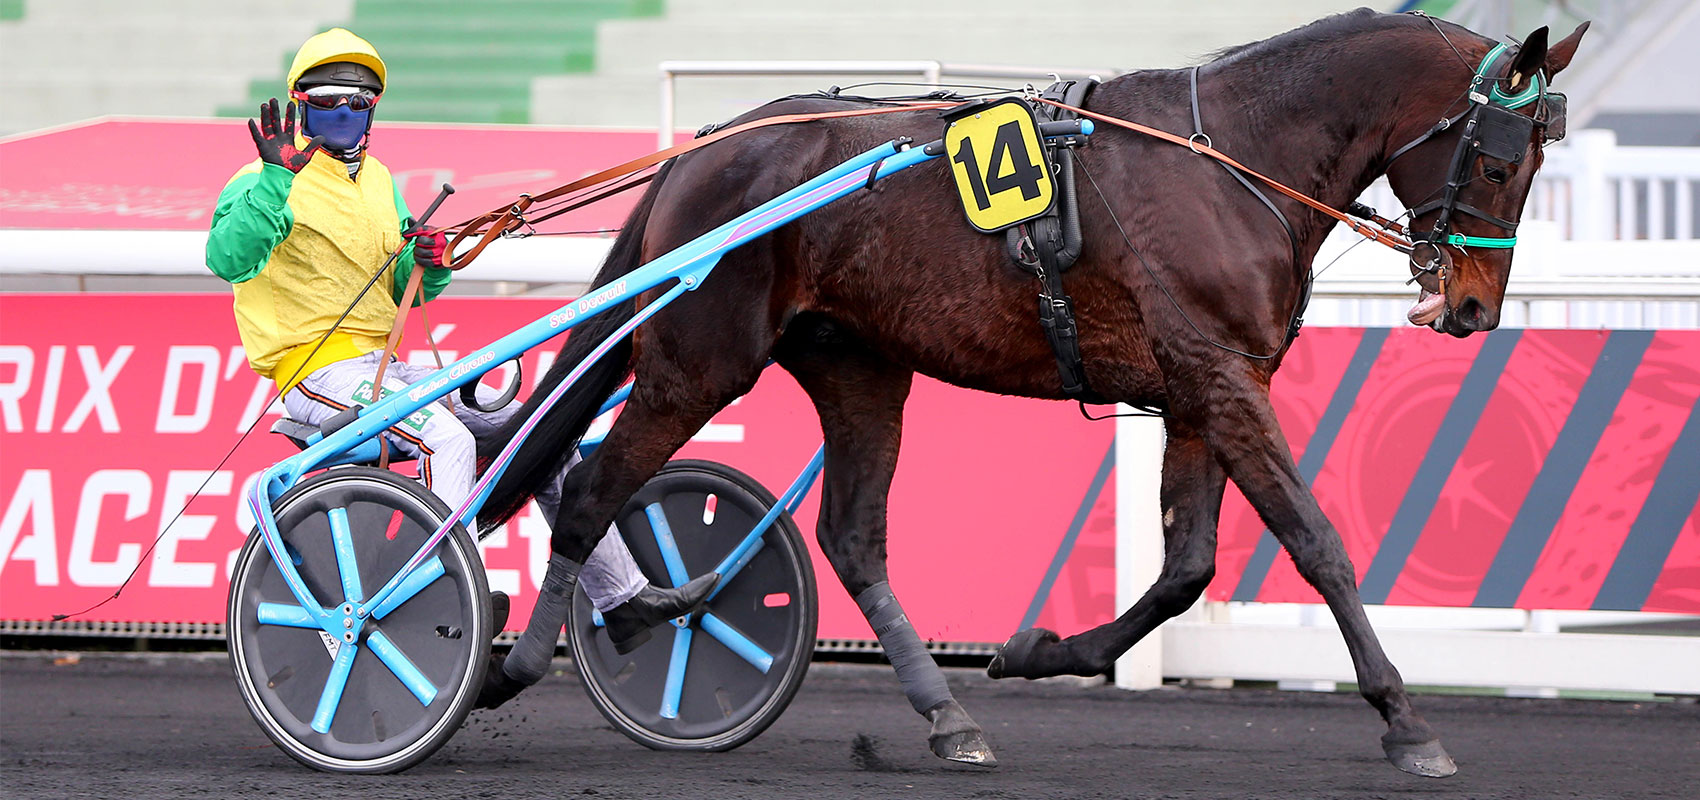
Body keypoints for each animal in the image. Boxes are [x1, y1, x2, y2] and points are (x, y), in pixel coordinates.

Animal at [482, 9, 1591, 781]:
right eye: (1500, 160)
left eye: (1538, 159)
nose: (1473, 306)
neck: (1234, 161)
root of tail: (703, 151)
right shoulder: (1220, 376)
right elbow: (1314, 543)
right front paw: (1406, 719)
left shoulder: (1199, 389)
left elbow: (1186, 567)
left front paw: (1033, 651)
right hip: (698, 360)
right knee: (589, 492)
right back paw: (518, 662)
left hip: (857, 364)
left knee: (851, 536)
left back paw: (949, 716)